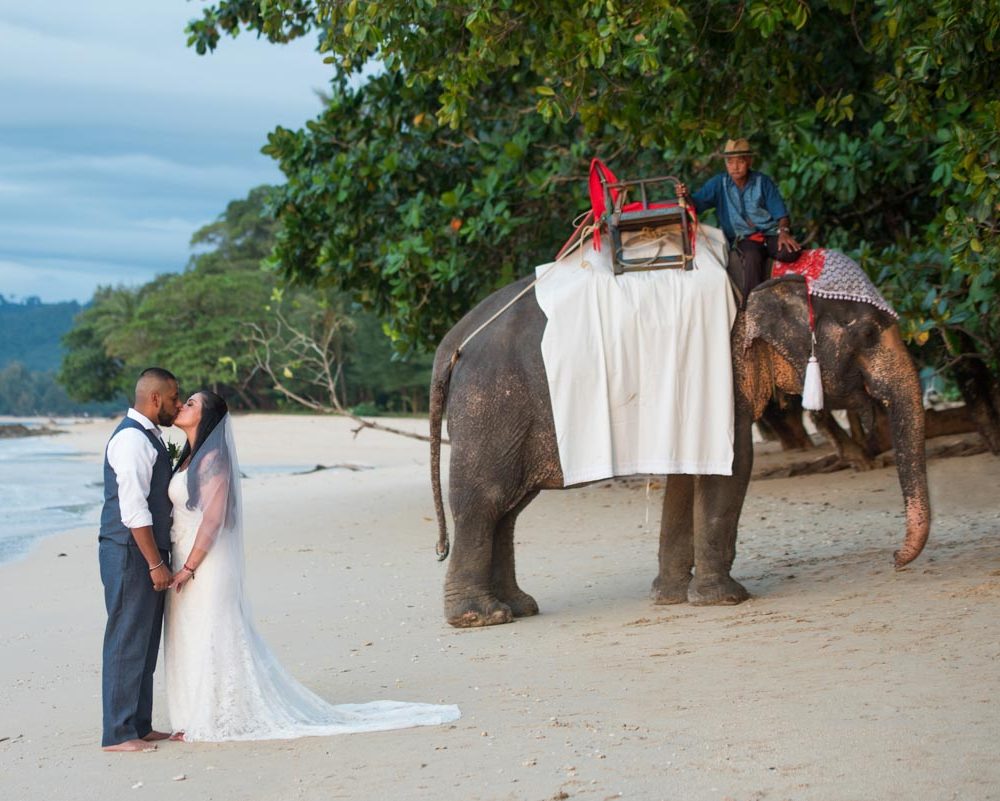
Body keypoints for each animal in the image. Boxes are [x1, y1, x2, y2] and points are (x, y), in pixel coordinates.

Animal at [428, 266, 928, 628]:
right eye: (869, 334)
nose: (893, 561)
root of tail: (452, 340)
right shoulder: (719, 383)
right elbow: (734, 468)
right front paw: (725, 599)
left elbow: (686, 475)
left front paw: (668, 597)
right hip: (492, 407)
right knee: (485, 502)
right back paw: (479, 618)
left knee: (508, 510)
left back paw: (517, 607)